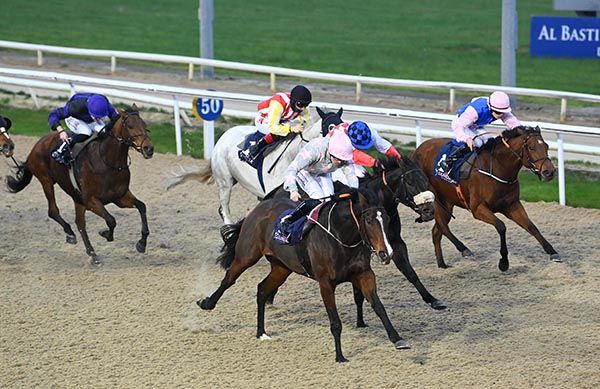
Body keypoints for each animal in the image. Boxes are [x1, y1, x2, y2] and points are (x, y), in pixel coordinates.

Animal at [4, 104, 154, 266]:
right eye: (130, 126)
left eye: (145, 125)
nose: (149, 149)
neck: (108, 162)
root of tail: (37, 144)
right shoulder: (91, 201)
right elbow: (111, 220)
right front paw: (105, 233)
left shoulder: (119, 197)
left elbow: (141, 206)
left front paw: (141, 244)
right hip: (46, 181)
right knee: (53, 211)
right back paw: (71, 234)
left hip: (77, 198)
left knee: (79, 223)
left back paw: (92, 253)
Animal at [199, 186, 410, 362]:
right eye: (368, 220)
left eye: (387, 219)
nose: (386, 253)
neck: (341, 237)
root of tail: (260, 206)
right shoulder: (325, 283)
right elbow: (335, 322)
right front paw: (340, 356)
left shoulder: (363, 274)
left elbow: (378, 306)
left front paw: (397, 339)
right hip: (246, 255)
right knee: (229, 279)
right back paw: (207, 303)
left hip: (282, 268)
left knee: (262, 289)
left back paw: (261, 332)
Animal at [410, 126, 560, 272]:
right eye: (531, 147)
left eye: (546, 146)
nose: (549, 172)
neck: (498, 168)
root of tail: (416, 151)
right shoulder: (478, 208)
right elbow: (501, 226)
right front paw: (504, 262)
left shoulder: (512, 206)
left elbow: (531, 227)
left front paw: (553, 252)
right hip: (433, 197)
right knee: (442, 225)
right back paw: (464, 249)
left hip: (447, 201)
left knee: (437, 231)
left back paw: (442, 264)